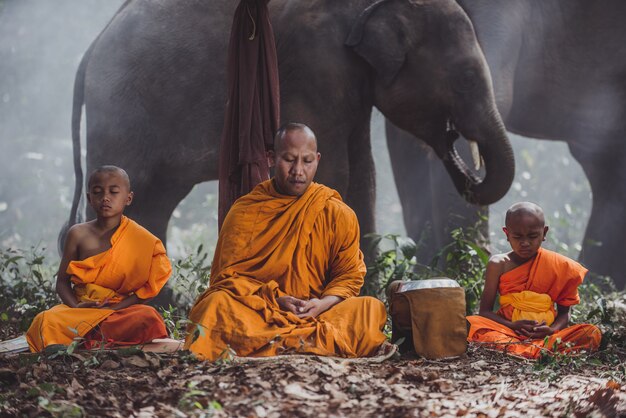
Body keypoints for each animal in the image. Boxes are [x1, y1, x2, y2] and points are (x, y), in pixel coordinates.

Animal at [70, 0, 516, 292]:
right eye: (464, 79)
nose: (451, 137)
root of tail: (89, 50)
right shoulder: (315, 65)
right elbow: (337, 170)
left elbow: (363, 174)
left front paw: (366, 289)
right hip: (123, 114)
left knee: (153, 204)